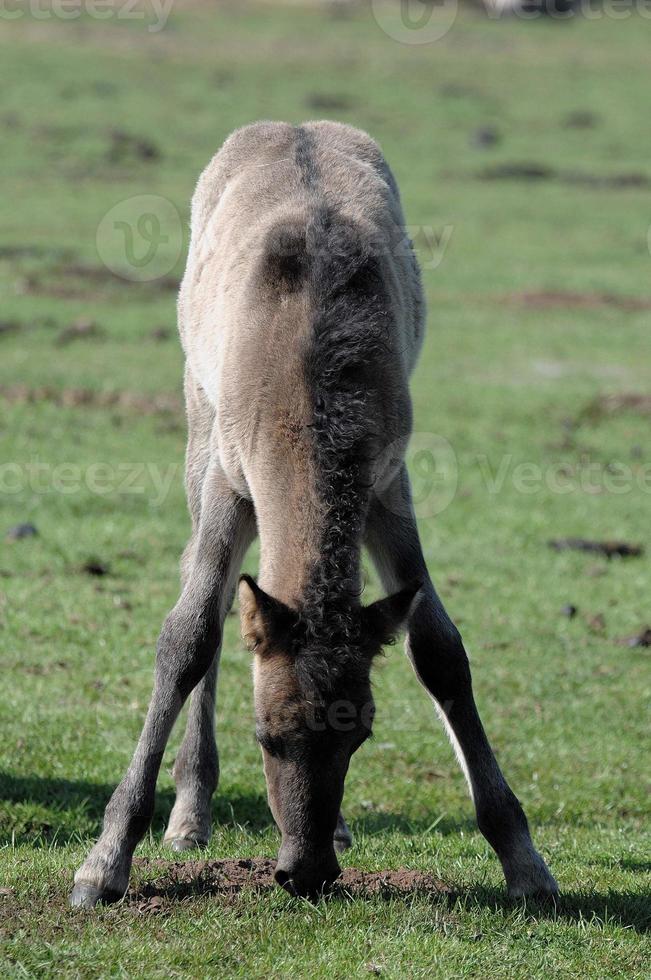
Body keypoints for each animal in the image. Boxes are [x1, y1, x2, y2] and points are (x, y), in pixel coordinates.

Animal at [72, 124, 560, 912]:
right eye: (267, 736)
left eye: (359, 737)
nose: (303, 873)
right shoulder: (229, 480)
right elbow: (188, 634)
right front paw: (105, 859)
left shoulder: (389, 482)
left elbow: (439, 648)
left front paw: (524, 859)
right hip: (197, 424)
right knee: (204, 593)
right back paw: (191, 815)